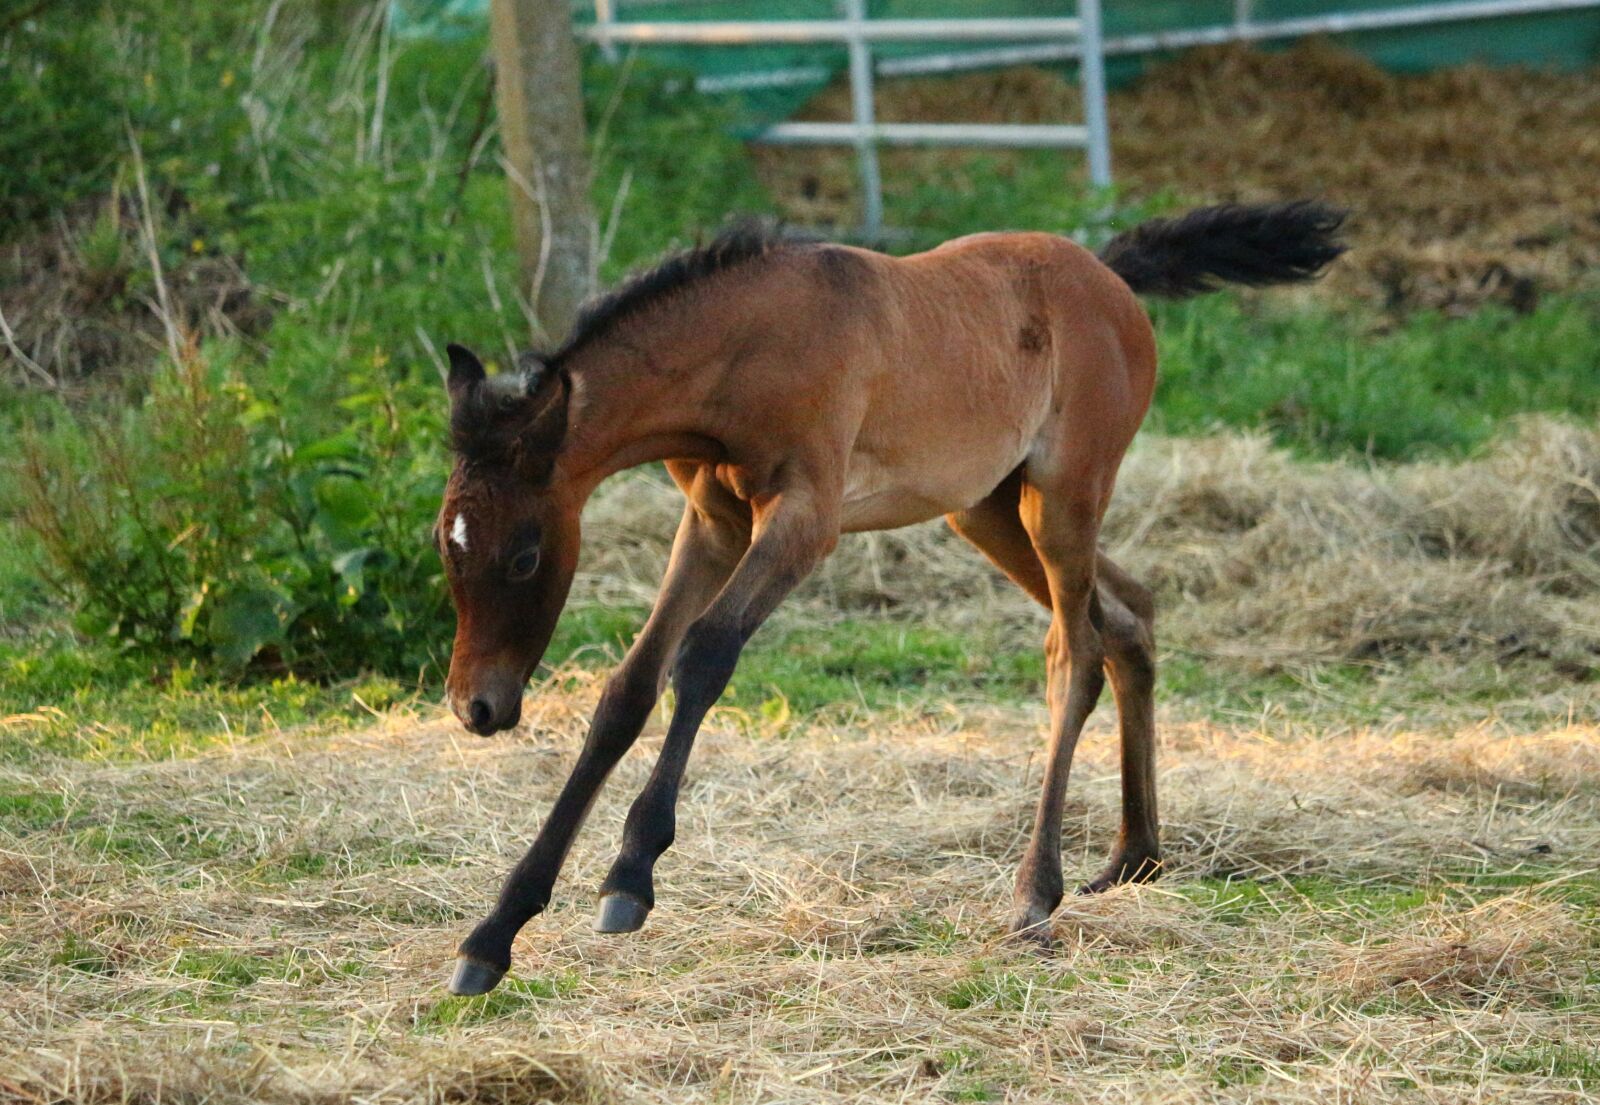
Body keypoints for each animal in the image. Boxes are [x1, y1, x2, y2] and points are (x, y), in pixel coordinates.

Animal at [434, 202, 1346, 995]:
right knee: (1129, 616)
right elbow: (627, 690)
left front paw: (630, 875)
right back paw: (1135, 857)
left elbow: (704, 655)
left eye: (524, 555)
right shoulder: (713, 523)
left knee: (1076, 654)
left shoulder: (806, 520)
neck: (746, 347)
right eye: (446, 541)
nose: (477, 706)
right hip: (987, 508)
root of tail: (1109, 275)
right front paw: (494, 934)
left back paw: (1035, 893)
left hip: (1063, 499)